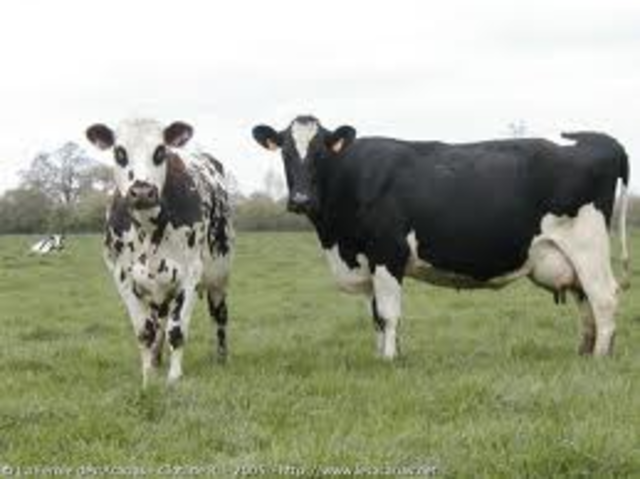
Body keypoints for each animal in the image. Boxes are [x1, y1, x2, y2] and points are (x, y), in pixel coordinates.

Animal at [86, 118, 233, 386]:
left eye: (160, 151)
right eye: (119, 152)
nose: (142, 191)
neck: (148, 229)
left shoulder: (189, 276)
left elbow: (176, 331)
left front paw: (174, 379)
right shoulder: (123, 277)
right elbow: (145, 332)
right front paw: (148, 378)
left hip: (219, 277)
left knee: (219, 316)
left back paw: (221, 358)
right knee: (159, 324)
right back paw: (156, 360)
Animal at [253, 116, 630, 359]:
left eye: (320, 153)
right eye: (285, 152)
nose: (301, 199)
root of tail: (603, 140)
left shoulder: (387, 252)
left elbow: (388, 313)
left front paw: (390, 360)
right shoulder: (366, 260)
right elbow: (375, 316)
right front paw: (381, 355)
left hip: (588, 244)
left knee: (603, 297)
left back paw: (600, 358)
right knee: (585, 302)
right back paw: (582, 353)